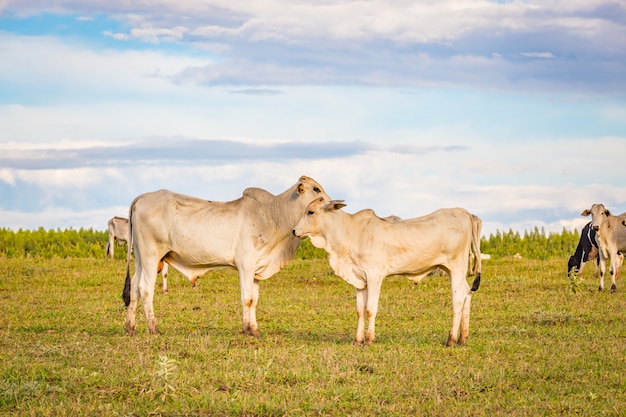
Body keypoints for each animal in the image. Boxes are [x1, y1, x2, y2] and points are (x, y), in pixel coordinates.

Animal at [119, 175, 330, 334]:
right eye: (316, 189)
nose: (330, 204)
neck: (273, 215)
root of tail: (143, 197)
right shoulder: (245, 264)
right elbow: (247, 298)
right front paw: (247, 330)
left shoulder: (256, 268)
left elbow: (254, 300)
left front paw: (254, 329)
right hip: (151, 256)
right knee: (146, 289)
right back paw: (153, 328)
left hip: (140, 258)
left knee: (134, 289)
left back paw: (131, 327)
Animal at [290, 197, 480, 344]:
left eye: (311, 212)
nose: (294, 230)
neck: (350, 233)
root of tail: (463, 212)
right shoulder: (360, 281)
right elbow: (360, 310)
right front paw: (357, 340)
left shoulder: (374, 276)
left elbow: (370, 309)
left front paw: (369, 339)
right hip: (452, 271)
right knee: (467, 293)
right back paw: (463, 337)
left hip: (456, 268)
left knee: (458, 300)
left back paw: (451, 339)